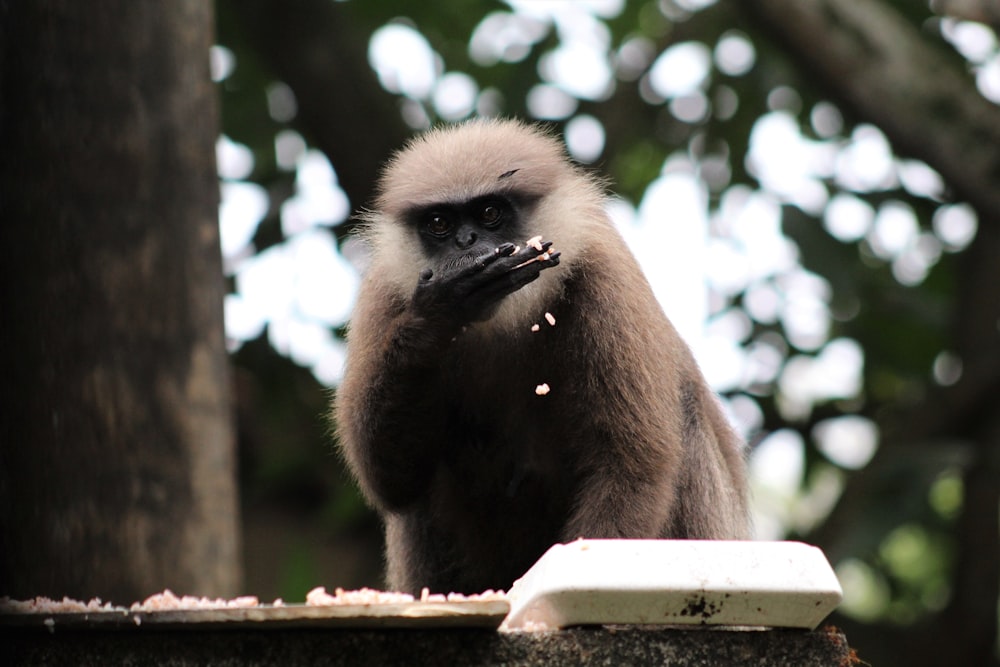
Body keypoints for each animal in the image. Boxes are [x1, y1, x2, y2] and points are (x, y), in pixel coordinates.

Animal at [336, 118, 752, 596]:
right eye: (439, 223)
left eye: (490, 214)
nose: (466, 241)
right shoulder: (385, 290)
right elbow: (390, 478)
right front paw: (443, 310)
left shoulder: (604, 276)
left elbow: (631, 465)